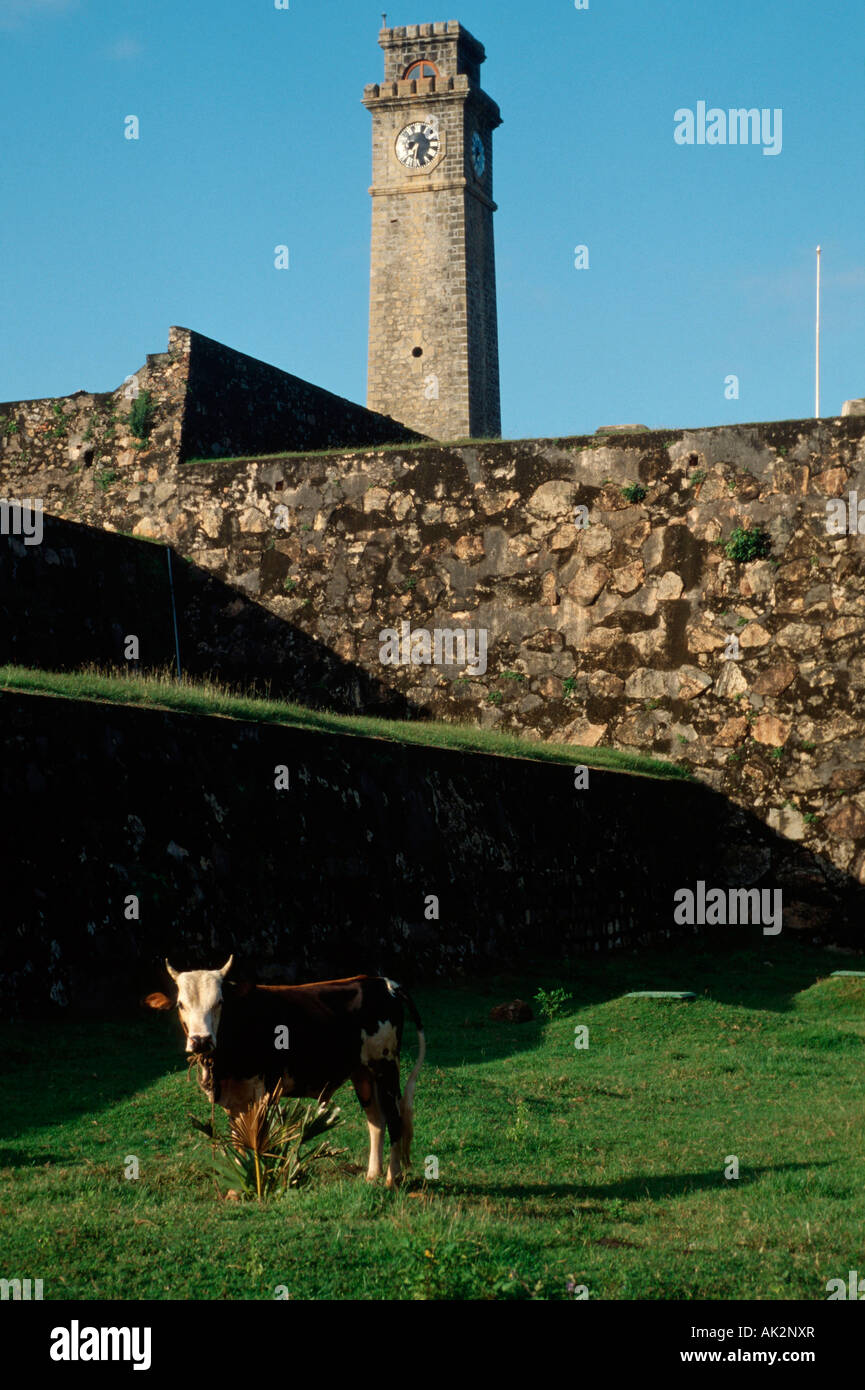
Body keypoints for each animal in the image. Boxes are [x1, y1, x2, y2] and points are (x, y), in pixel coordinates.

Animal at [147, 961, 428, 1189]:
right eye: (181, 1005)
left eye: (219, 1003)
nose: (201, 1041)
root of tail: (384, 982)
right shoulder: (233, 1097)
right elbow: (239, 1141)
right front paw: (238, 1188)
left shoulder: (262, 1091)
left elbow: (257, 1142)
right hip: (363, 1074)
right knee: (376, 1121)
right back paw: (372, 1175)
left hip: (385, 1067)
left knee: (394, 1120)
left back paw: (392, 1179)